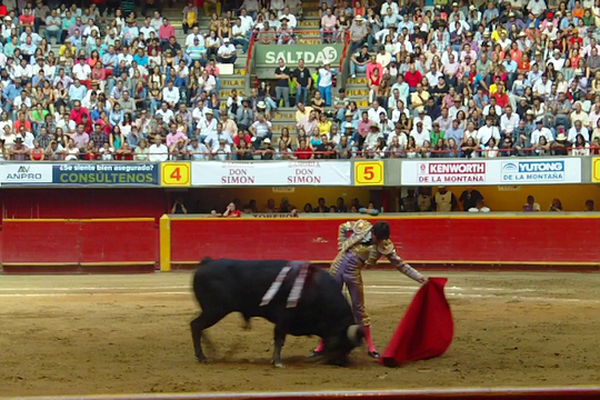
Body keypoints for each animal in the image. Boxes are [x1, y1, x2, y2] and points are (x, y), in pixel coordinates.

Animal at [190, 258, 364, 368]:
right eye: (341, 342)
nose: (342, 363)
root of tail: (207, 261)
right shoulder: (284, 318)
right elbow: (279, 339)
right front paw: (277, 362)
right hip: (215, 310)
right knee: (196, 325)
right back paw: (202, 356)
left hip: (211, 310)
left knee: (198, 326)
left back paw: (211, 351)